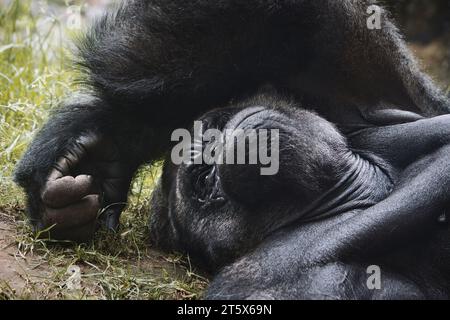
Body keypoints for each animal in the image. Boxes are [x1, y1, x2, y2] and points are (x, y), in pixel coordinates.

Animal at [13, 0, 450, 300]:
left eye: (213, 129)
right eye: (205, 181)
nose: (222, 154)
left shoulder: (361, 93)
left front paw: (108, 146)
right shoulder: (271, 276)